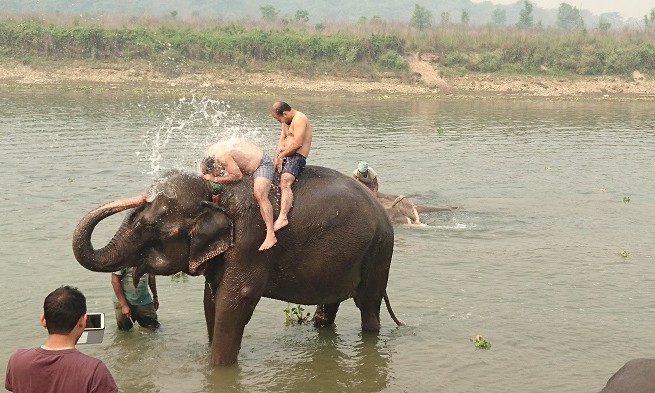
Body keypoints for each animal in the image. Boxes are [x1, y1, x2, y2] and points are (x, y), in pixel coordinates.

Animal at [75, 165, 404, 364]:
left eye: (152, 227)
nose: (144, 194)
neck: (215, 191)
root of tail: (382, 211)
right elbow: (210, 301)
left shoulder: (251, 240)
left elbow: (234, 300)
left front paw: (220, 369)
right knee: (330, 304)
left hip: (379, 250)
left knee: (368, 304)